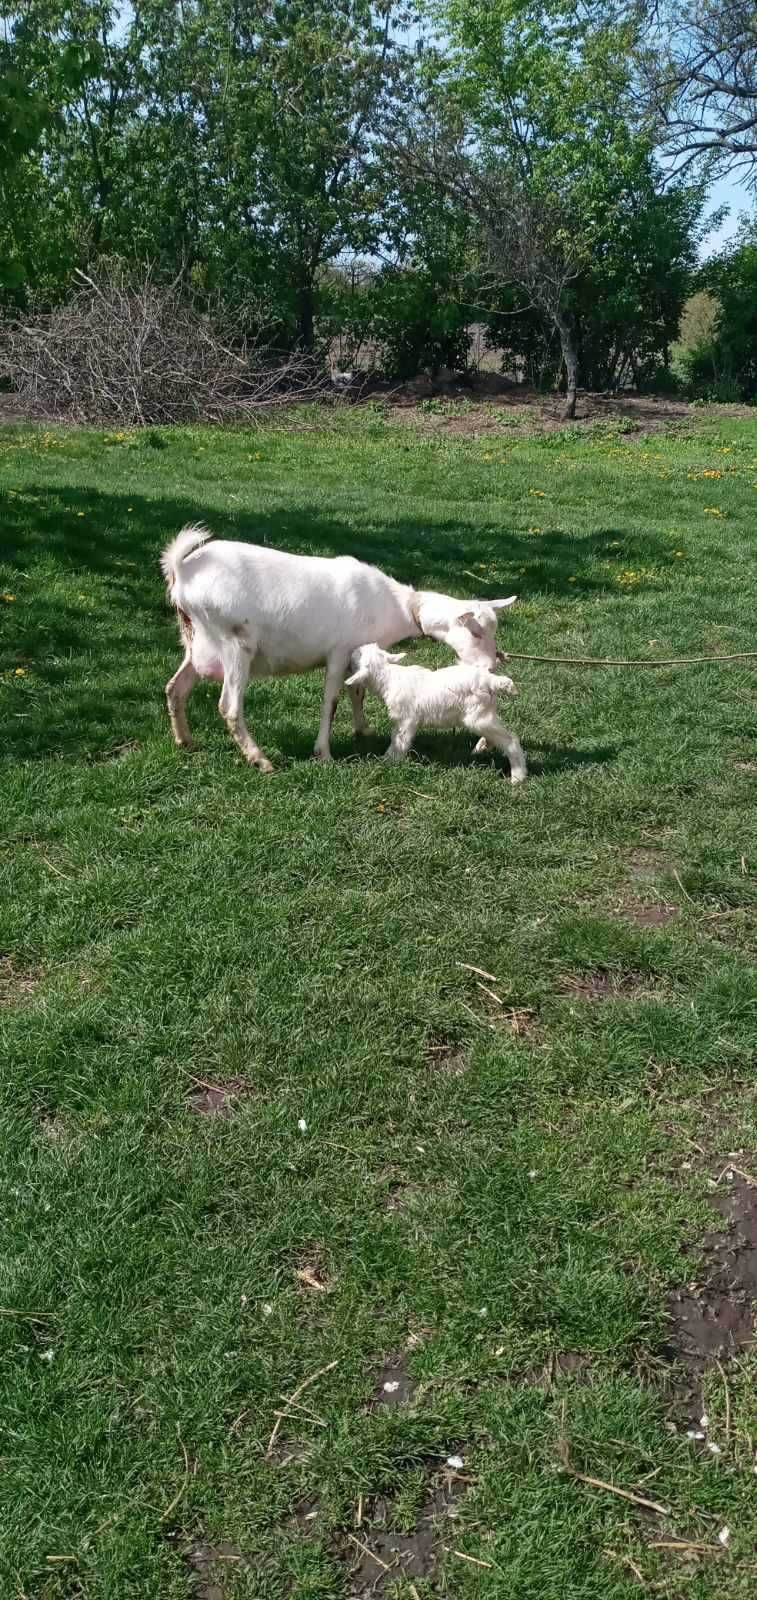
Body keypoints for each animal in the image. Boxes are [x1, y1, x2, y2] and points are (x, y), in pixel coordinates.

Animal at [159, 521, 512, 771]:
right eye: (476, 632)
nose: (491, 666)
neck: (399, 606)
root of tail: (182, 571)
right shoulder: (339, 652)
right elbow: (331, 701)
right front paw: (324, 753)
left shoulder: (358, 651)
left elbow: (358, 690)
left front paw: (362, 730)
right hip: (235, 643)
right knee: (229, 707)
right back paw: (261, 760)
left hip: (198, 644)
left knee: (175, 687)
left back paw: (185, 741)